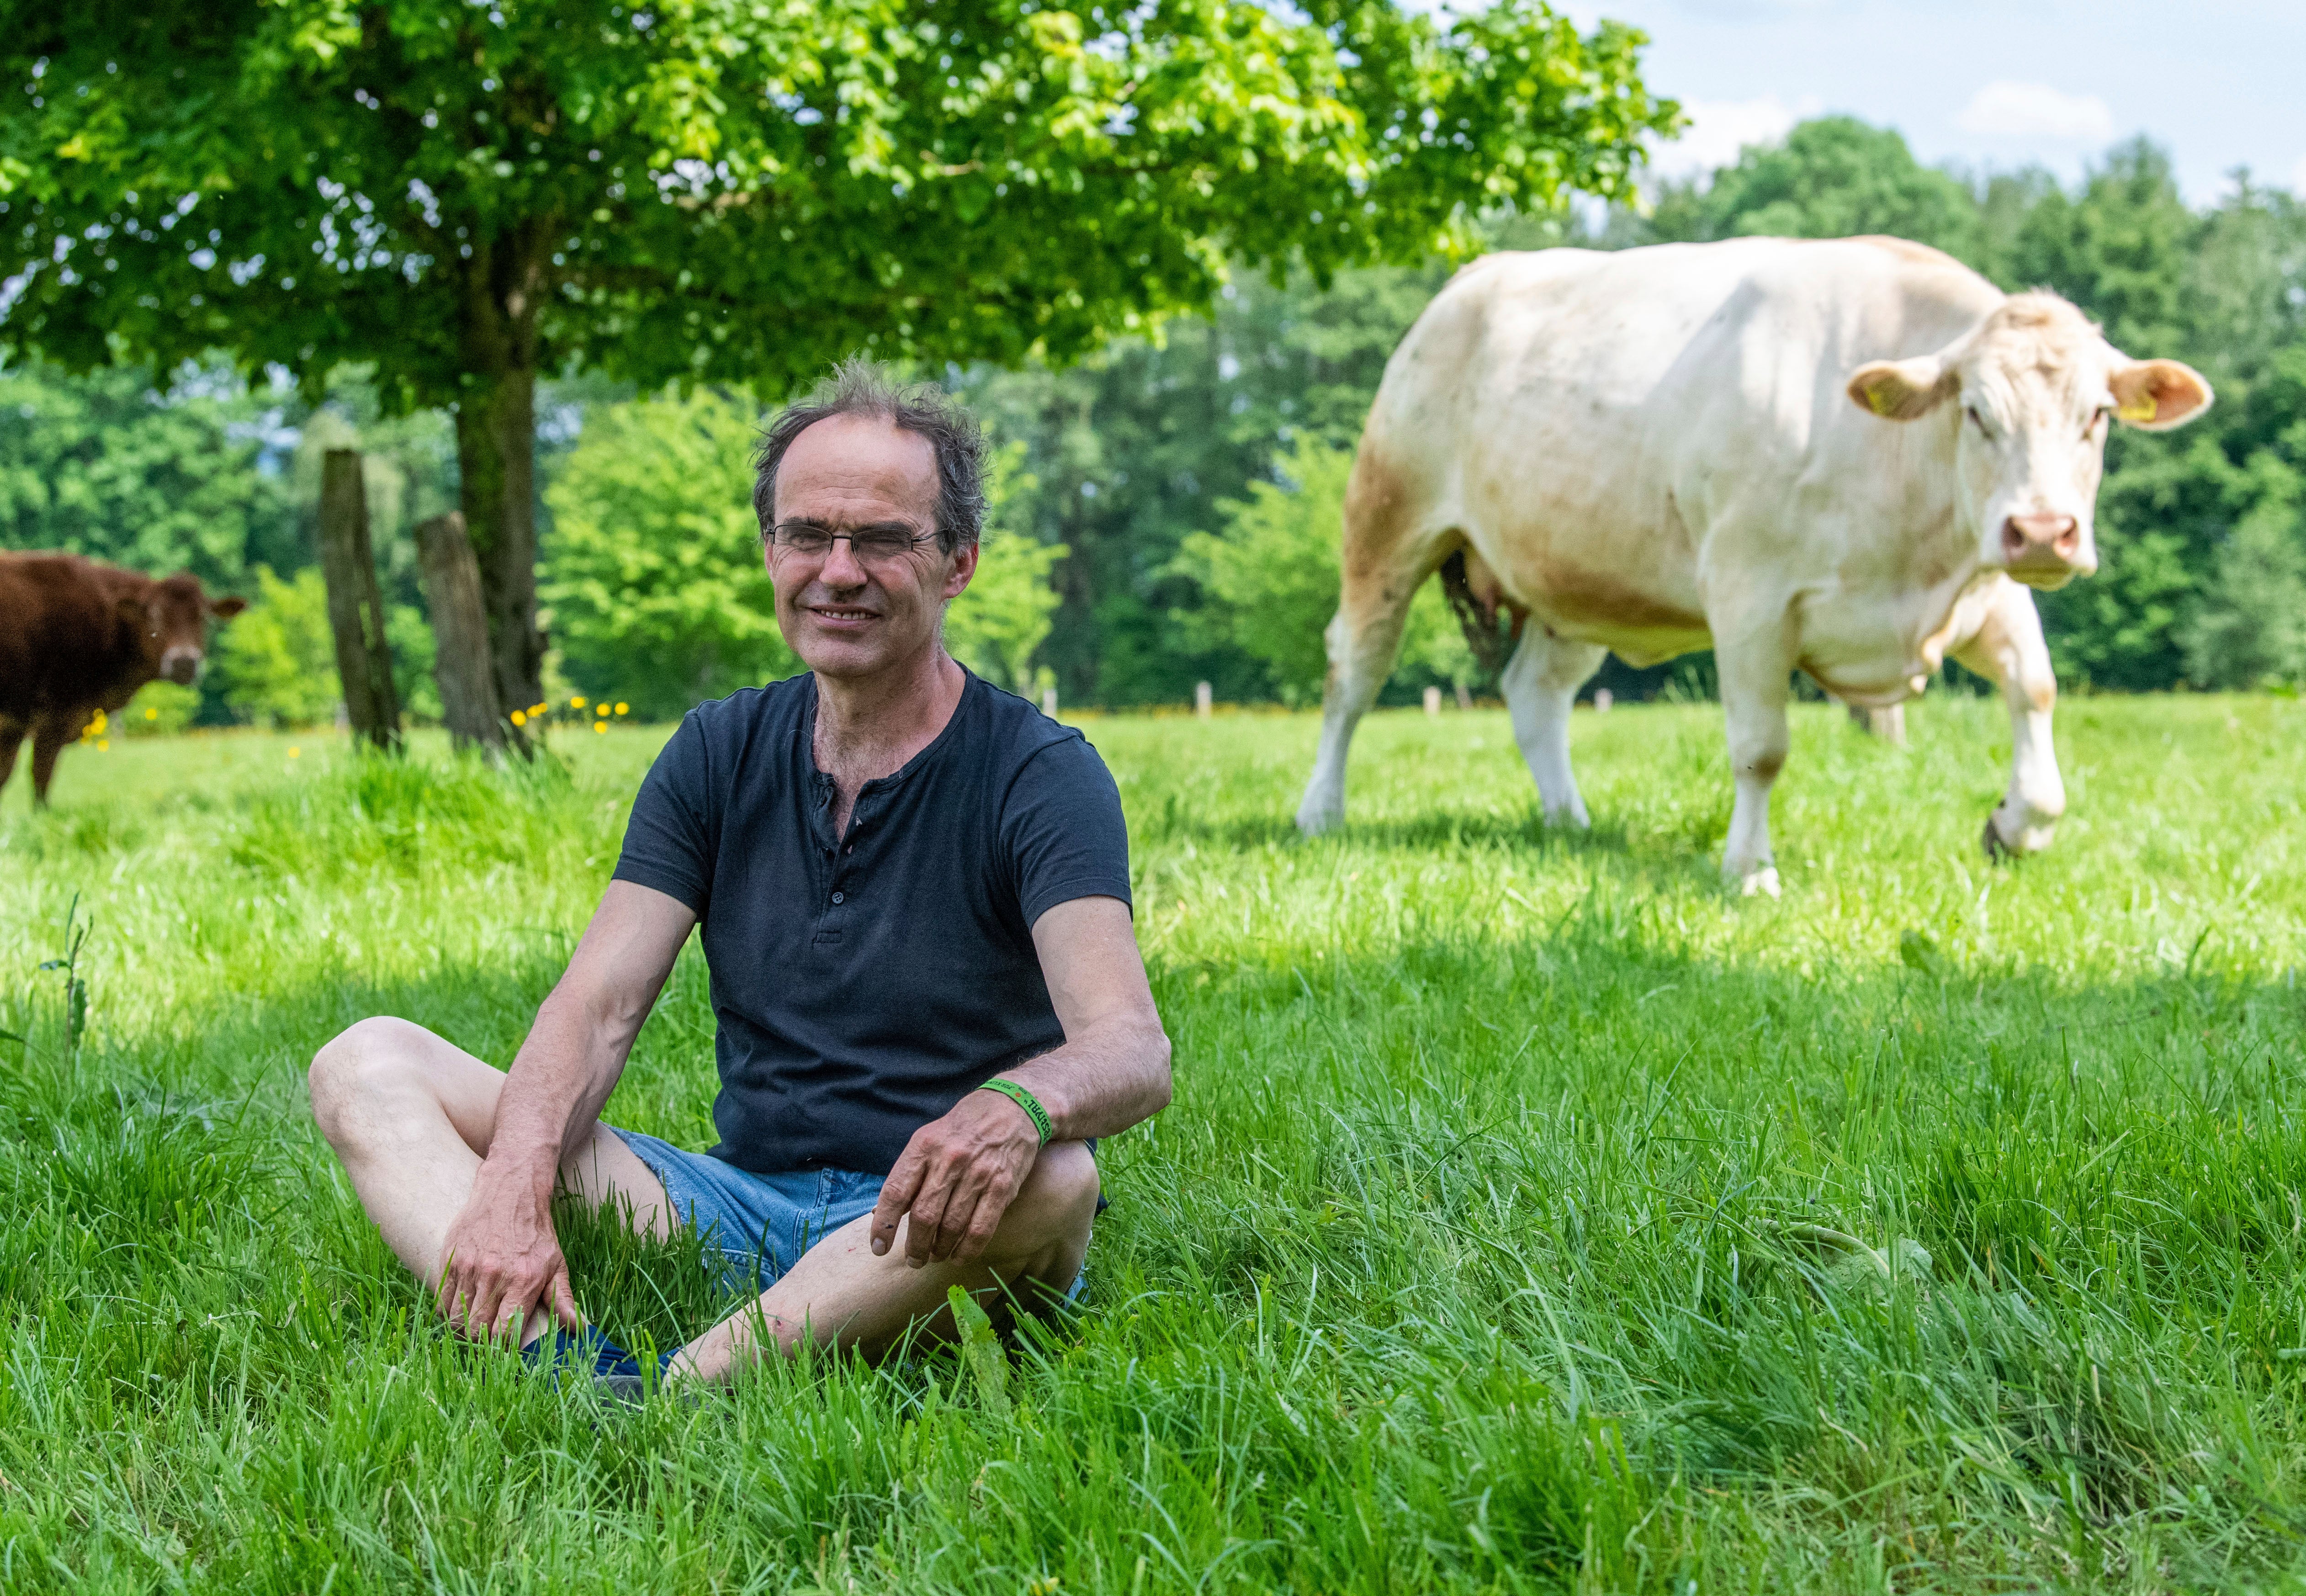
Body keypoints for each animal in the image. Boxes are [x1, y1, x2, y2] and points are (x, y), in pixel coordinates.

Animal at [0, 556, 245, 802]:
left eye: (203, 618)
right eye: (155, 616)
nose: (184, 662)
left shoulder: (15, 727)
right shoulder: (54, 716)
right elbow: (41, 776)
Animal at [1300, 234, 2214, 899]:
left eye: (2097, 415)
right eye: (1974, 412)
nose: (2042, 531)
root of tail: (1474, 278)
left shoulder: (1981, 589)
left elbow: (2035, 690)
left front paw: (2015, 826)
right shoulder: (1748, 599)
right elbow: (1760, 748)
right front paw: (1748, 871)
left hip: (1577, 577)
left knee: (1535, 694)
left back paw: (1568, 820)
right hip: (1388, 522)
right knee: (1353, 672)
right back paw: (1320, 812)